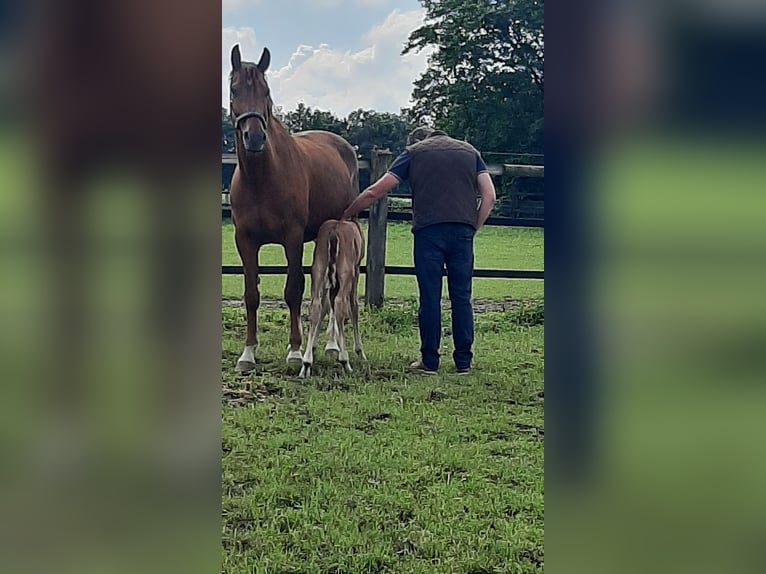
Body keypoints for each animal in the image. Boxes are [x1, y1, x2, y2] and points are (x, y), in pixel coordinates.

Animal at [228, 47, 360, 376]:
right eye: (234, 90)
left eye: (266, 91)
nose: (254, 138)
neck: (261, 178)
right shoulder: (245, 241)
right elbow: (251, 294)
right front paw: (248, 354)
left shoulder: (293, 238)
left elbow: (293, 291)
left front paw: (296, 351)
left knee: (332, 294)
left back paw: (332, 345)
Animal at [300, 219, 366, 378]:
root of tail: (333, 232)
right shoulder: (356, 271)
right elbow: (354, 306)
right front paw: (360, 352)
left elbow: (325, 306)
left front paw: (314, 348)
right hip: (346, 273)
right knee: (340, 303)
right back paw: (345, 361)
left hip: (318, 270)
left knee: (315, 306)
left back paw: (306, 363)